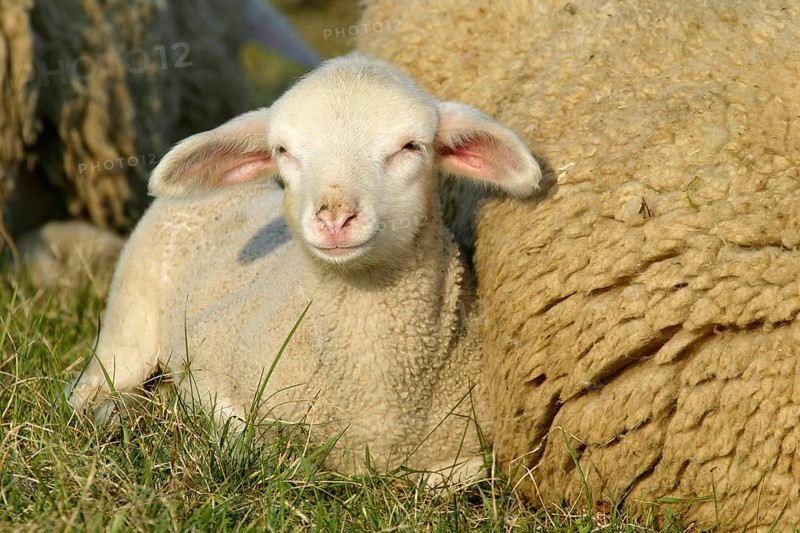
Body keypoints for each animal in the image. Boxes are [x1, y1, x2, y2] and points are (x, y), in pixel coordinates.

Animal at [66, 54, 542, 482]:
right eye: (283, 151)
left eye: (411, 147)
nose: (335, 217)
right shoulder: (208, 368)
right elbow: (262, 447)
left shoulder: (478, 444)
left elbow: (452, 478)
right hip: (128, 323)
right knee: (84, 393)